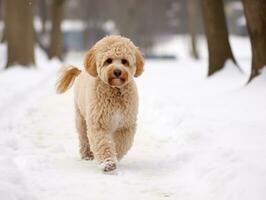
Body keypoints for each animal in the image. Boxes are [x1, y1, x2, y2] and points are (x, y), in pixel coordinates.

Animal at [55, 34, 144, 172]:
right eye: (108, 60)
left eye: (124, 61)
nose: (117, 72)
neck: (115, 90)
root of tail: (81, 72)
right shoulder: (99, 123)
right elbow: (103, 143)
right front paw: (107, 163)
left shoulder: (125, 124)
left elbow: (121, 144)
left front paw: (115, 156)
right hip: (81, 119)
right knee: (84, 139)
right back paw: (87, 154)